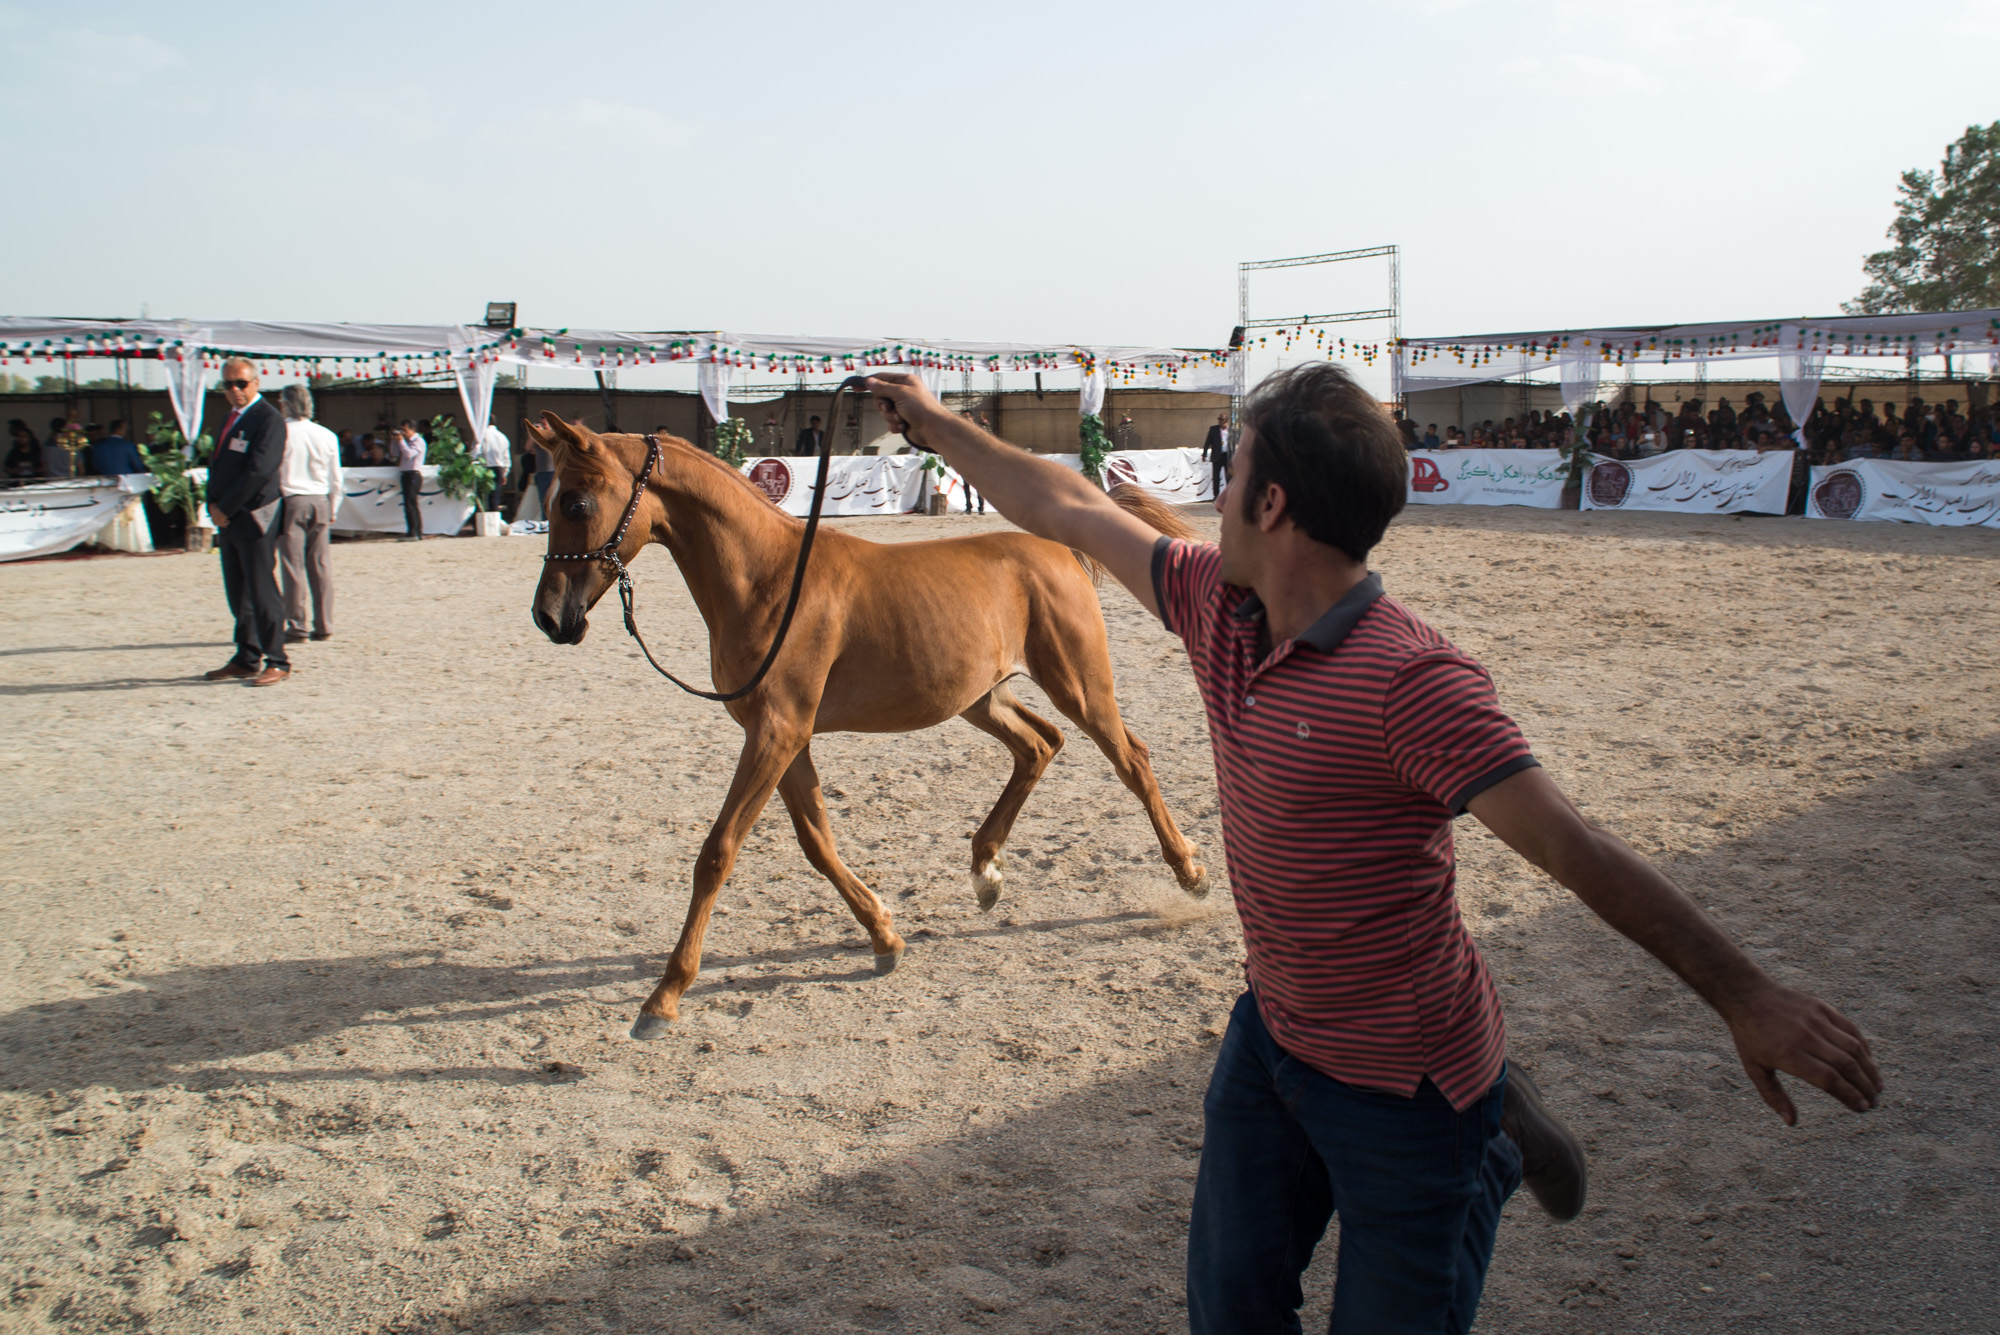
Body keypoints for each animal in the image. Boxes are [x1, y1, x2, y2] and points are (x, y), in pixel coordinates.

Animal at [524, 417, 1200, 1039]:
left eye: (576, 502)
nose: (550, 618)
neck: (769, 581)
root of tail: (1060, 551)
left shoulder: (777, 732)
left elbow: (718, 852)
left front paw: (663, 997)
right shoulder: (784, 737)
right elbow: (817, 843)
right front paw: (884, 938)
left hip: (1080, 687)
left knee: (1131, 759)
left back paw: (1190, 873)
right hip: (982, 698)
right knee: (1040, 745)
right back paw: (986, 871)